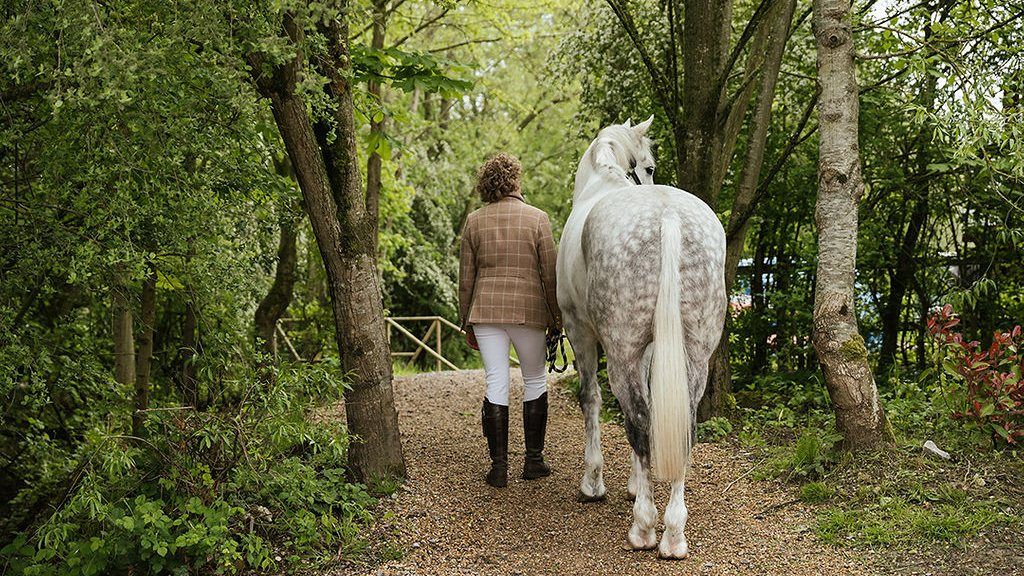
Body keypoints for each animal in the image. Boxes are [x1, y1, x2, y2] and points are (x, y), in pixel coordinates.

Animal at [556, 116, 726, 558]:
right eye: (649, 166)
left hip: (619, 352)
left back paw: (646, 527)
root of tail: (667, 215)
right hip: (694, 356)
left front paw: (593, 482)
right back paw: (674, 534)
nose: (649, 177)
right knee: (682, 426)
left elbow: (592, 400)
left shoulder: (579, 329)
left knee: (637, 419)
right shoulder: (653, 349)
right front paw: (635, 483)